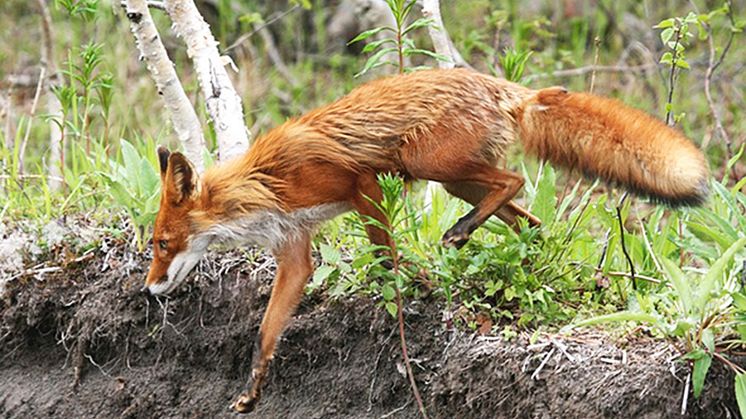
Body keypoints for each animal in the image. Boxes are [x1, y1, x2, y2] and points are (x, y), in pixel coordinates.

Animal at [142, 67, 708, 412]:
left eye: (162, 244)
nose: (148, 290)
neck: (264, 183)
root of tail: (506, 88)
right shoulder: (296, 251)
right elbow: (266, 332)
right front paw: (251, 393)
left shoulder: (361, 184)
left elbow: (384, 253)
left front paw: (414, 289)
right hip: (457, 180)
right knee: (528, 219)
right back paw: (532, 263)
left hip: (427, 163)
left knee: (513, 183)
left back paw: (460, 235)